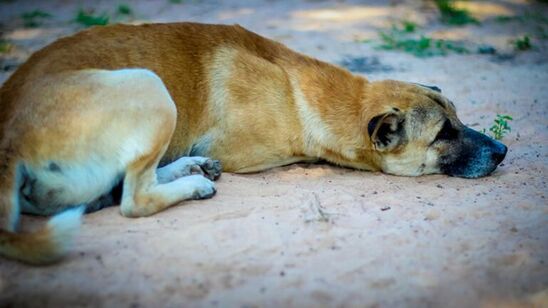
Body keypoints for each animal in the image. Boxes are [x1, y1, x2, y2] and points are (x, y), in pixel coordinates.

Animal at [0, 22, 506, 264]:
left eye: (460, 118)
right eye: (443, 134)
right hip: (148, 85)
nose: (503, 152)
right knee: (133, 198)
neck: (301, 88)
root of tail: (9, 142)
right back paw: (191, 183)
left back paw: (188, 169)